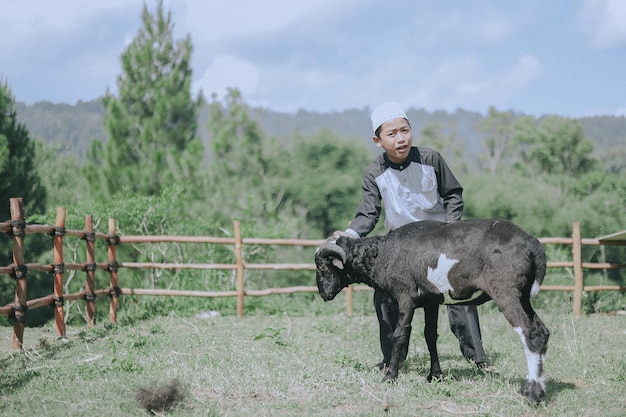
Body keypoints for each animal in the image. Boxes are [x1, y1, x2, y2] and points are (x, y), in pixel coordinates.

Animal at [314, 219, 548, 402]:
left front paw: (390, 377)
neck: (381, 253)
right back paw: (531, 387)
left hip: (506, 292)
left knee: (530, 334)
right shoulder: (431, 302)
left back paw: (533, 394)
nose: (323, 293)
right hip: (523, 296)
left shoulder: (405, 297)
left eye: (323, 268)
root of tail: (533, 244)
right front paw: (435, 375)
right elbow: (430, 336)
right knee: (542, 332)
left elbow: (400, 335)